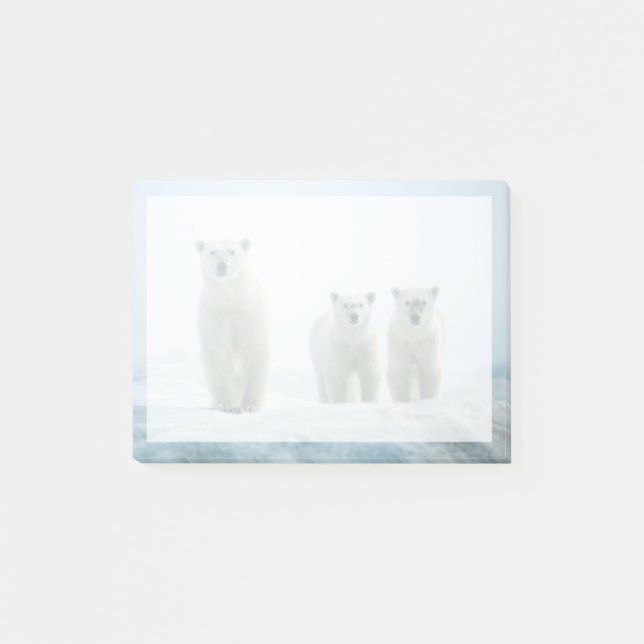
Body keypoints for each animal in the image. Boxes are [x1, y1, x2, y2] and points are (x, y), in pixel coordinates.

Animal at [195, 238, 270, 413]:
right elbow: (219, 355)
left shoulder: (249, 314)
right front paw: (225, 404)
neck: (230, 298)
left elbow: (253, 351)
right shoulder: (216, 316)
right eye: (212, 251)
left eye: (232, 251)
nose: (222, 265)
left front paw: (250, 404)